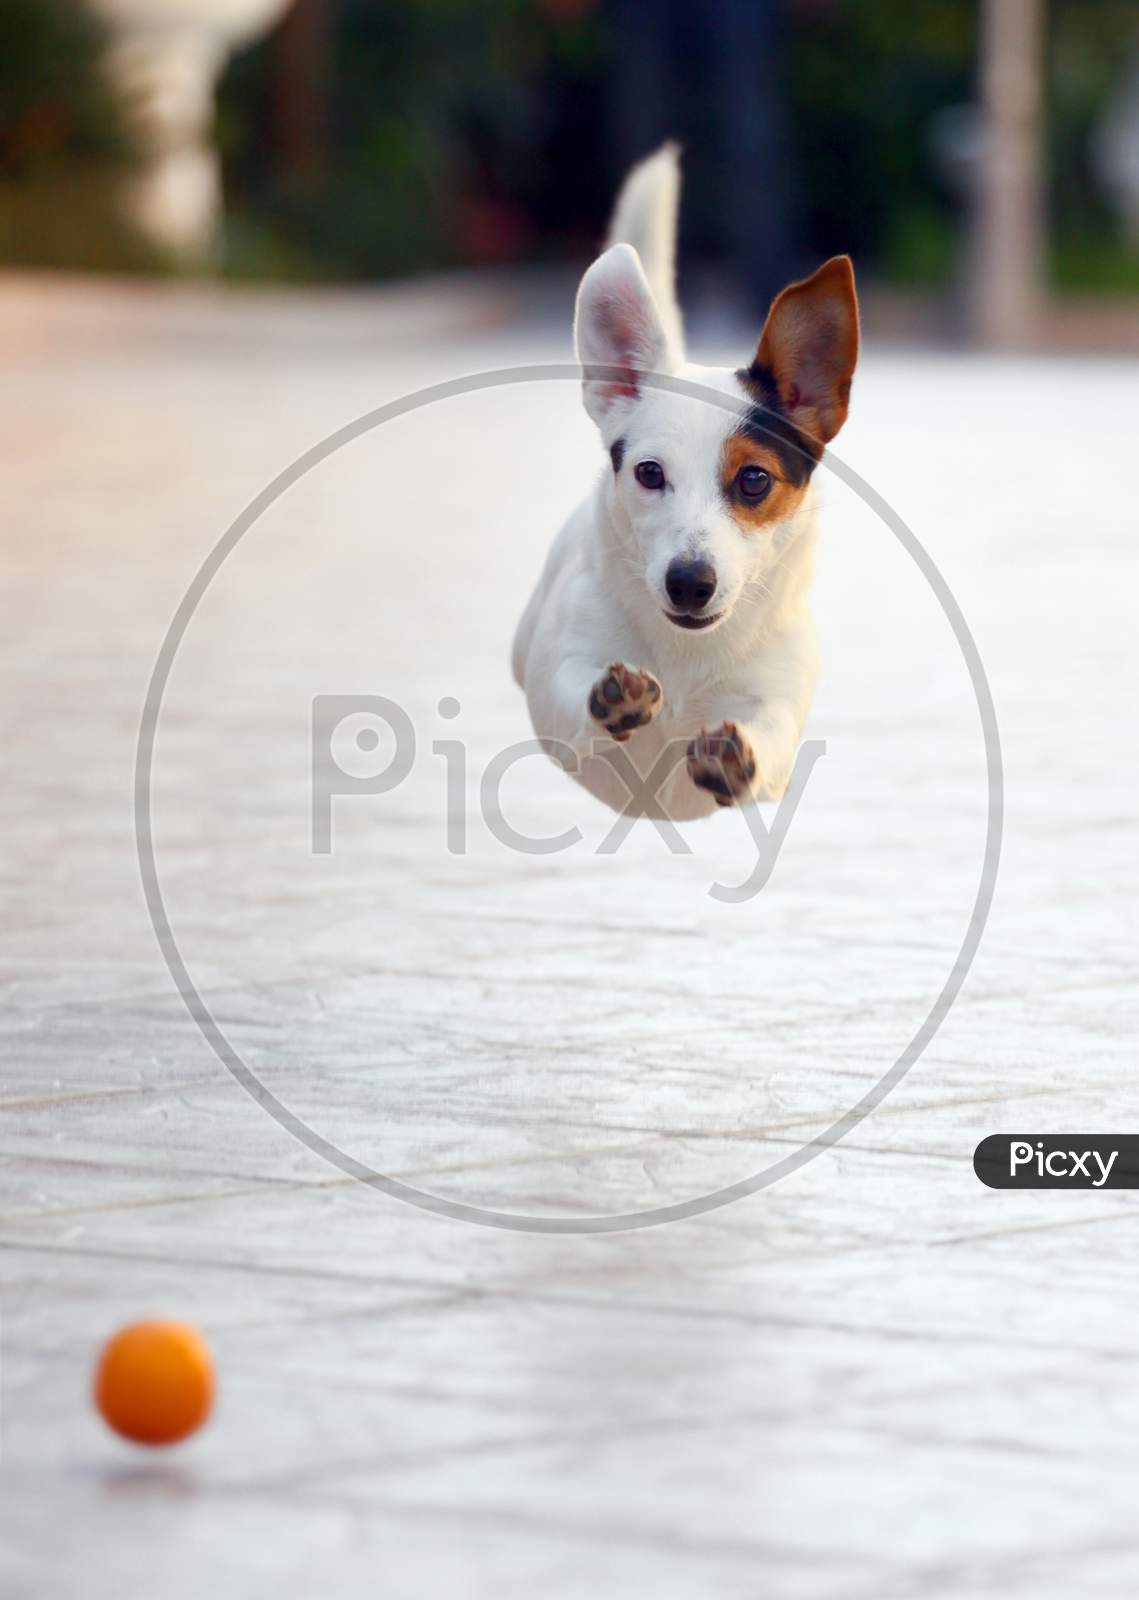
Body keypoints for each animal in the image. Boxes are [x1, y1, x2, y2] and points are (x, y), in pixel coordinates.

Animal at [511, 145, 857, 825]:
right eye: (649, 473)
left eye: (754, 479)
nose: (690, 582)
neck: (685, 657)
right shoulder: (555, 684)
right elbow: (570, 697)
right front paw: (611, 698)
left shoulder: (777, 712)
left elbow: (767, 742)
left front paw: (733, 758)